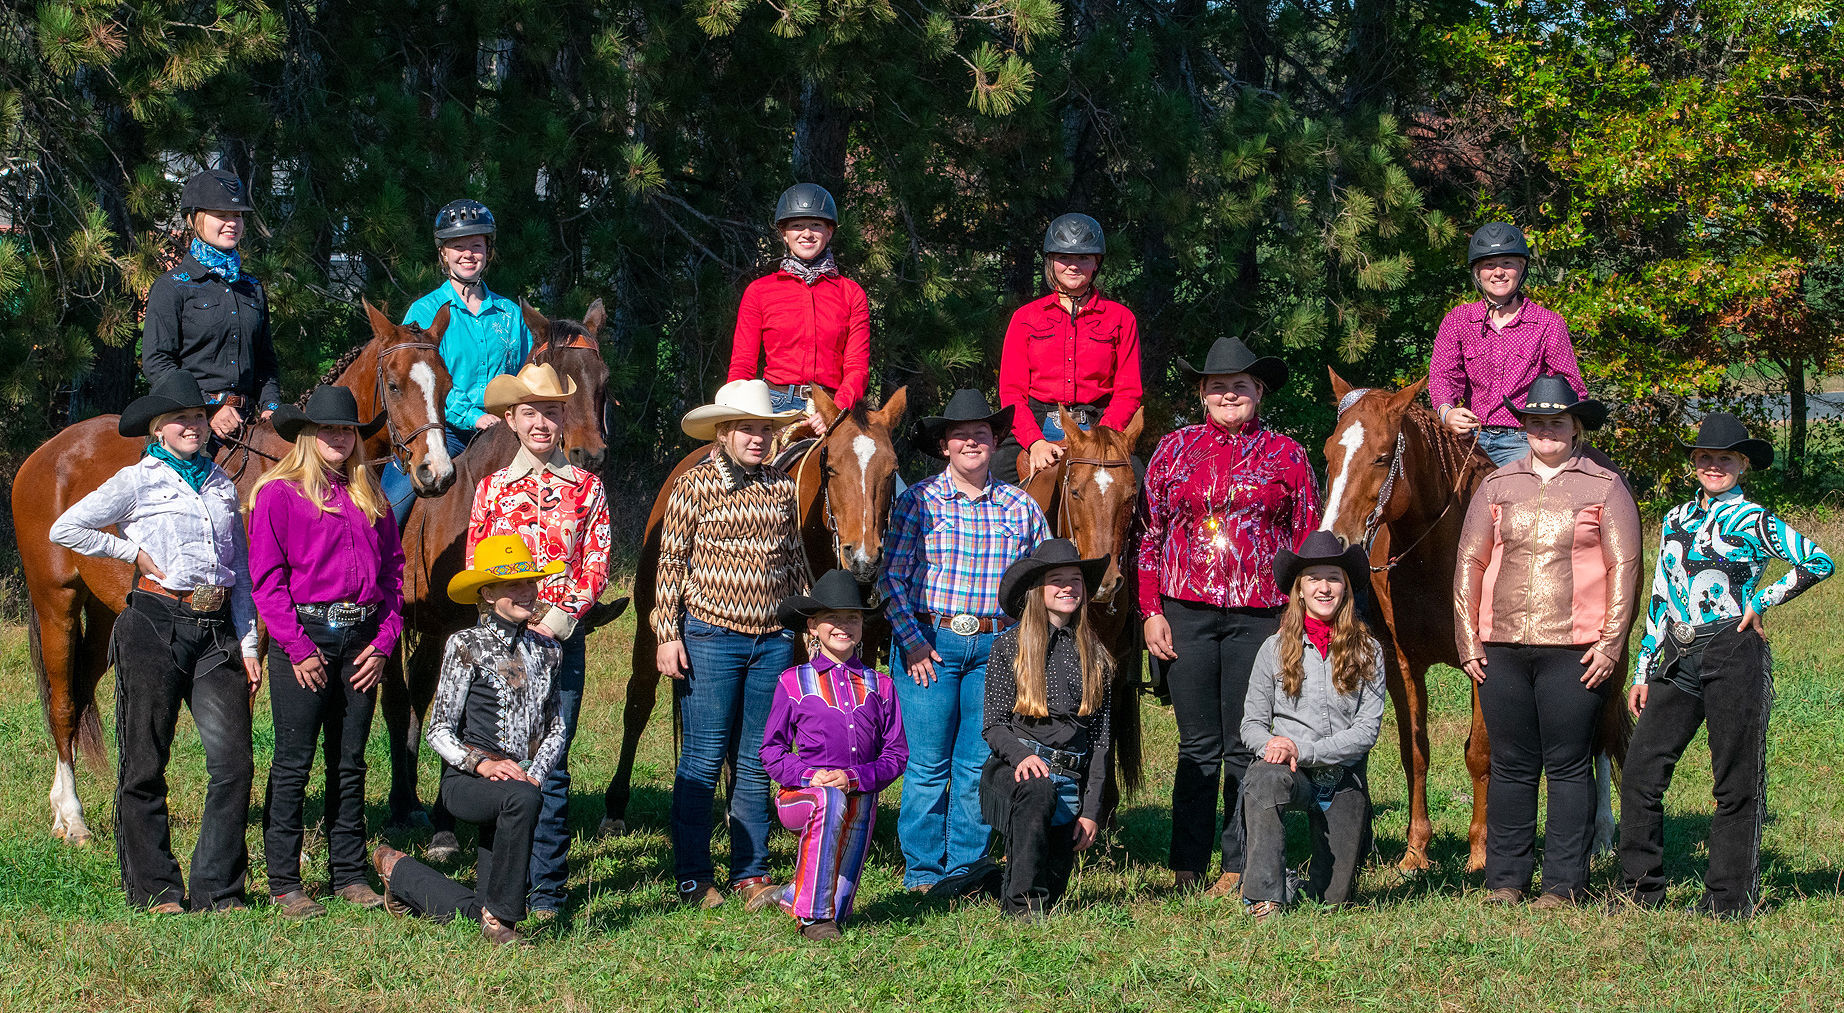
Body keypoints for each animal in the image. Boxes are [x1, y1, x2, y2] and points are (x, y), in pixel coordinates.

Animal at [17, 300, 461, 845]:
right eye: (395, 385)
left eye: (445, 385)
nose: (436, 474)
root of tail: (44, 454)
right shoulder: (263, 626)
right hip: (56, 602)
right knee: (61, 702)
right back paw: (72, 816)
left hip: (105, 616)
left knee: (80, 691)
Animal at [597, 383, 907, 834]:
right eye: (831, 466)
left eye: (891, 469)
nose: (864, 559)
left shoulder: (857, 656)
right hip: (648, 625)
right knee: (639, 703)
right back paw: (617, 807)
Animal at [1312, 370, 1630, 867]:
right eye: (1329, 452)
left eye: (1382, 457)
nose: (1333, 541)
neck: (1434, 555)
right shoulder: (1401, 664)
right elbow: (1415, 753)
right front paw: (1415, 852)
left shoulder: (1485, 663)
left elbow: (1480, 753)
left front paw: (1481, 852)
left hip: (1610, 659)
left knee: (1601, 738)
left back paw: (1600, 836)